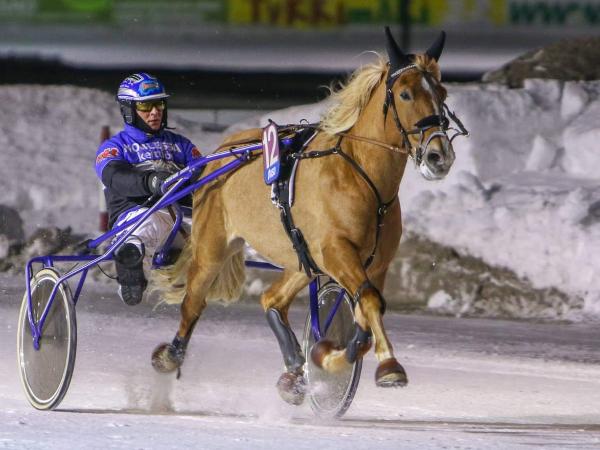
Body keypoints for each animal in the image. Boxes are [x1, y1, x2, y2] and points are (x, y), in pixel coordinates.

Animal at [150, 27, 461, 405]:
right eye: (405, 93)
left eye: (441, 93)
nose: (438, 155)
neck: (362, 177)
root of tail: (219, 153)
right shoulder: (336, 251)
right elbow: (370, 302)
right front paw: (389, 366)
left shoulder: (375, 264)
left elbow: (364, 317)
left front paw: (327, 356)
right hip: (212, 247)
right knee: (193, 303)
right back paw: (170, 356)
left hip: (301, 260)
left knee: (272, 300)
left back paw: (293, 374)